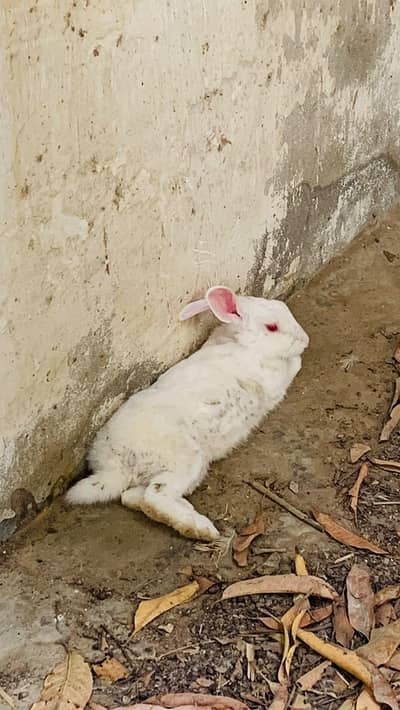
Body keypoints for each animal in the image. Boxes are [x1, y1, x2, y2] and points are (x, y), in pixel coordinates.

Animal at [66, 285, 309, 541]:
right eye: (272, 327)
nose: (305, 339)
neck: (241, 344)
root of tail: (115, 466)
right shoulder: (272, 380)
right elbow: (293, 365)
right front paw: (297, 358)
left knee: (133, 497)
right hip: (186, 458)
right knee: (155, 496)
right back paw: (200, 529)